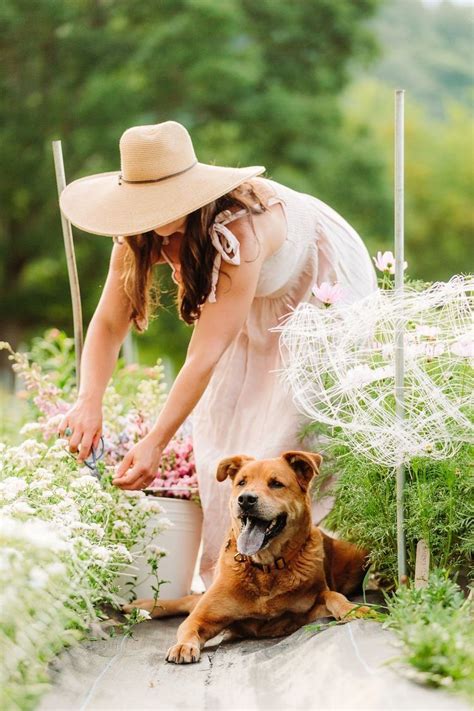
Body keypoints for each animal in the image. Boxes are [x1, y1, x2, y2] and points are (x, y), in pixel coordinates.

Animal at [125, 454, 370, 664]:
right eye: (242, 483)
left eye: (276, 484)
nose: (246, 499)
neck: (266, 568)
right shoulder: (204, 615)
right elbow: (188, 625)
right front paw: (183, 645)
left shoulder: (308, 609)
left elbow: (333, 595)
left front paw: (355, 609)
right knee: (187, 601)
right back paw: (140, 606)